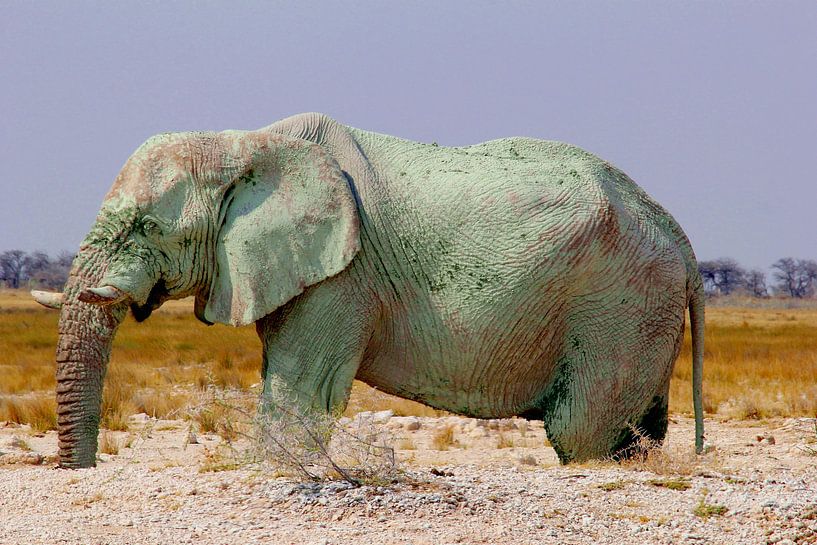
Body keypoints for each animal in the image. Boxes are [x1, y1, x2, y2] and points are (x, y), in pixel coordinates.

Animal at [33, 111, 700, 468]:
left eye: (147, 228)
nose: (82, 473)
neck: (242, 143)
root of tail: (679, 234)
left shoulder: (343, 277)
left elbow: (301, 392)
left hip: (621, 301)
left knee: (579, 430)